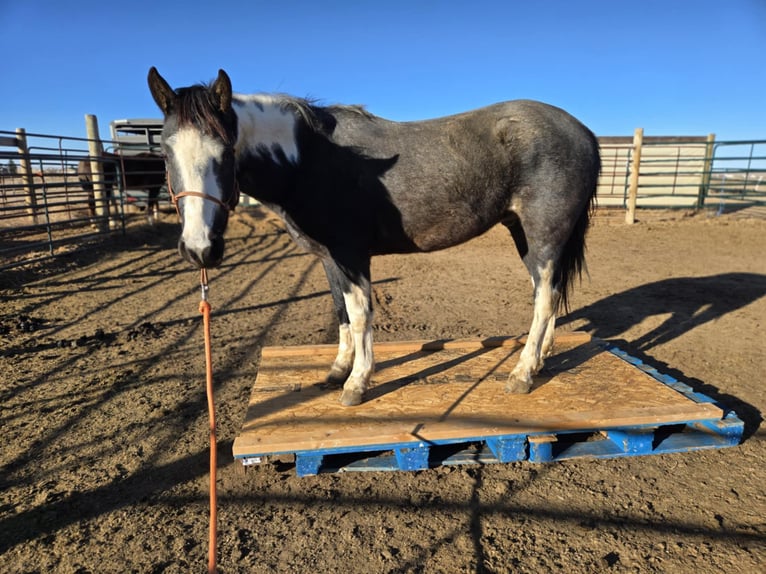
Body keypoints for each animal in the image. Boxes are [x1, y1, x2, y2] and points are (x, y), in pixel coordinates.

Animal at [146, 67, 600, 408]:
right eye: (165, 153)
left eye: (225, 151)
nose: (200, 248)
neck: (310, 160)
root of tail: (583, 132)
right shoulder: (330, 258)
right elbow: (342, 313)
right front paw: (337, 370)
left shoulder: (352, 254)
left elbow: (362, 314)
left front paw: (357, 384)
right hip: (525, 235)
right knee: (548, 293)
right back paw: (540, 360)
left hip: (543, 236)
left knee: (544, 299)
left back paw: (522, 373)